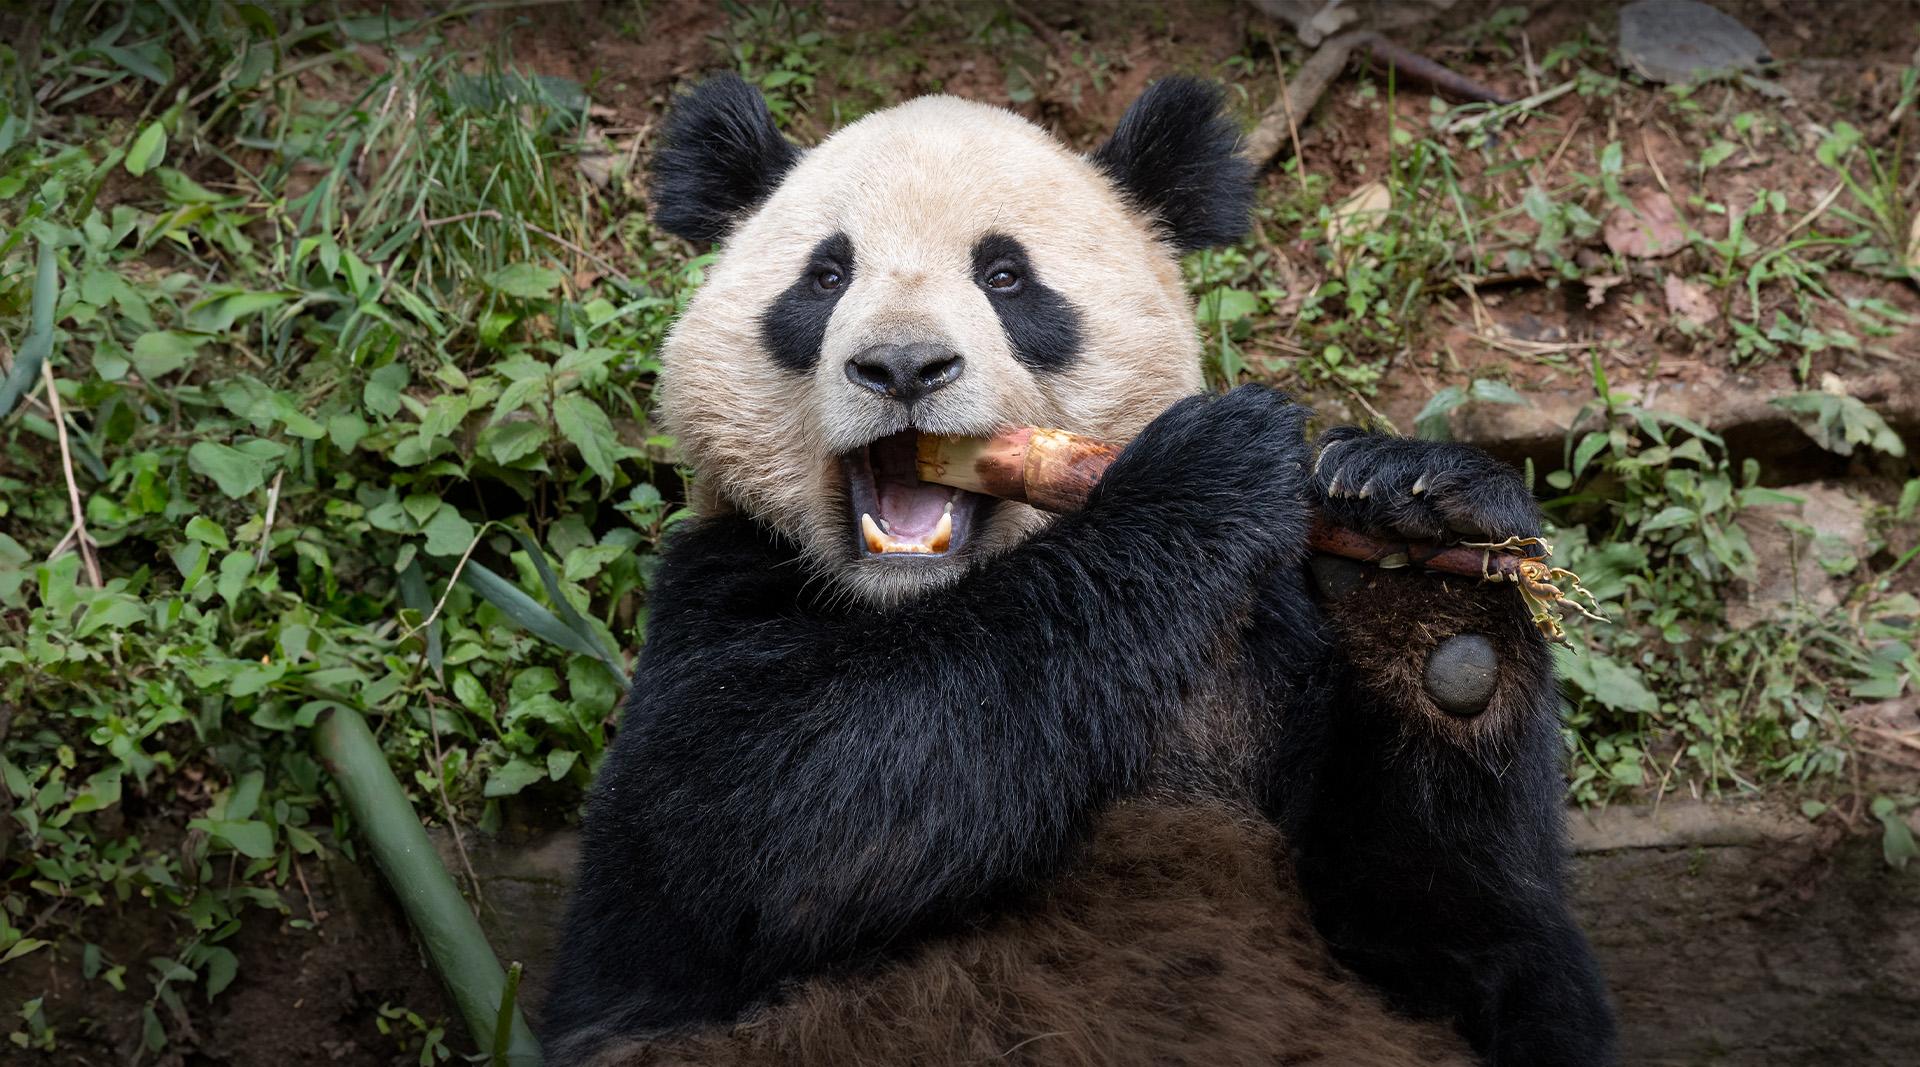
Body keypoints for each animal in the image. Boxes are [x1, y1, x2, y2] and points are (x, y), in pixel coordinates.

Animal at [544, 74, 1617, 1066]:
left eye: (1007, 276)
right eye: (825, 276)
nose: (902, 367)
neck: (919, 603)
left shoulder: (1266, 656)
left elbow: (1466, 943)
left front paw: (1423, 547)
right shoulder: (717, 592)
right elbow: (781, 817)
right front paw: (1205, 469)